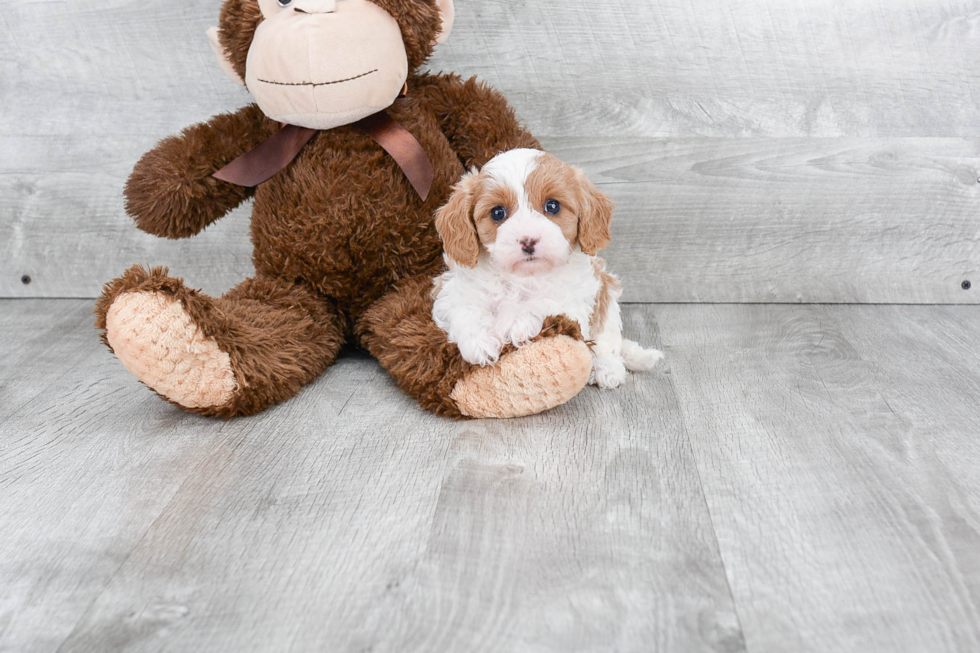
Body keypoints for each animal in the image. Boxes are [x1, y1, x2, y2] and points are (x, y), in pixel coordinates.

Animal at [432, 148, 664, 388]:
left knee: (607, 339)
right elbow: (464, 309)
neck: (522, 277)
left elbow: (545, 301)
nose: (528, 240)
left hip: (606, 293)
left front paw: (515, 321)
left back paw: (607, 368)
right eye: (497, 213)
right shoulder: (449, 292)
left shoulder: (574, 302)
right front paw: (479, 342)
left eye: (552, 206)